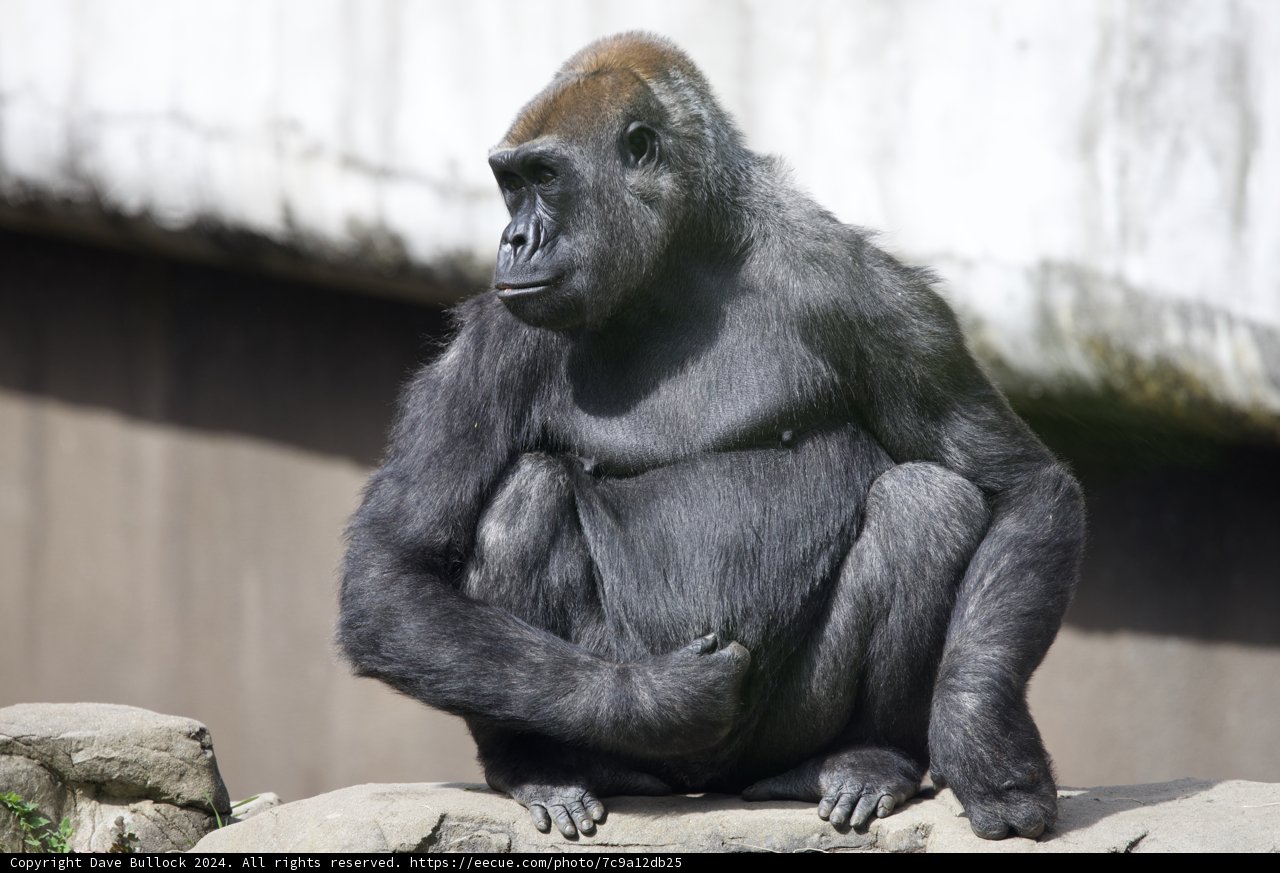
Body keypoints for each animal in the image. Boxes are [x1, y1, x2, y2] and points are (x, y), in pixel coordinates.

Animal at [338, 32, 1084, 841]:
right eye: (510, 184)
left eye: (544, 177)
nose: (514, 238)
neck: (680, 261)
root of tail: (705, 786)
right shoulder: (495, 336)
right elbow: (391, 573)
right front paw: (658, 698)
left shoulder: (873, 294)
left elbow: (1019, 488)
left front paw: (980, 742)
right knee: (526, 494)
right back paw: (543, 764)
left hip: (773, 740)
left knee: (927, 504)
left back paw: (869, 755)